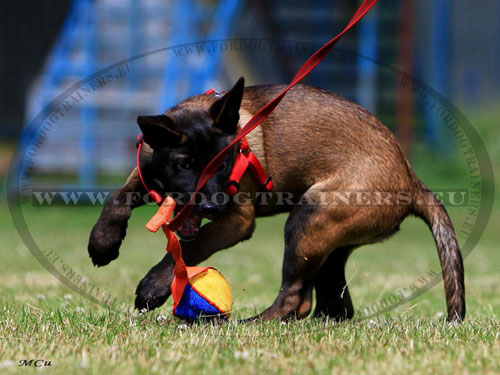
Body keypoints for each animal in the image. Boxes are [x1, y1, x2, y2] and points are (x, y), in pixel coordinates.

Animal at [87, 78, 464, 322]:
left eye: (224, 164)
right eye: (185, 165)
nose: (212, 207)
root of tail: (410, 178)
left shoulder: (236, 222)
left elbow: (189, 246)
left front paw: (153, 286)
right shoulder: (146, 175)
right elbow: (117, 198)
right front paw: (103, 243)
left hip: (307, 222)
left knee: (295, 299)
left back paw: (250, 324)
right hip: (327, 243)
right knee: (333, 305)